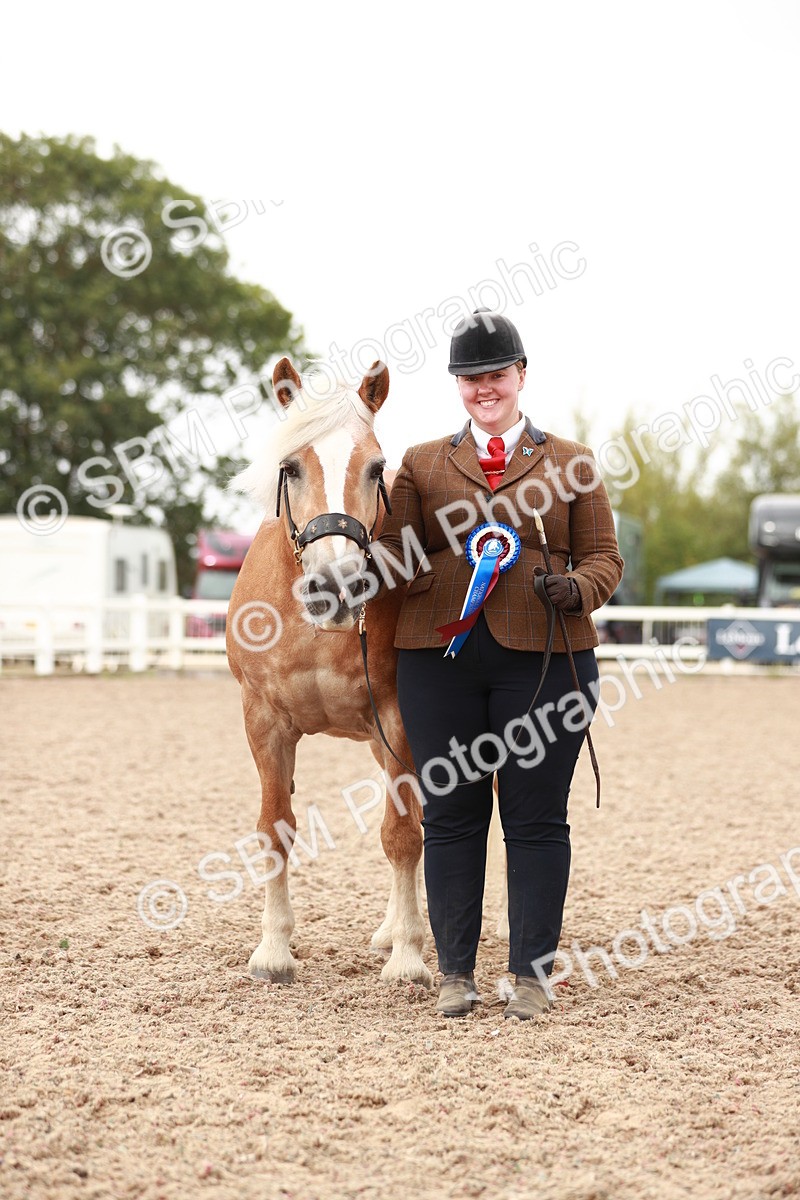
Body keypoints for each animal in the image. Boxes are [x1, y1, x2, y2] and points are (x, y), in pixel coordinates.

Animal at [226, 356, 433, 988]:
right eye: (290, 467)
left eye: (376, 466)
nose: (336, 587)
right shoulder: (264, 720)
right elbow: (275, 828)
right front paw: (274, 950)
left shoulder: (399, 718)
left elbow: (401, 835)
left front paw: (409, 958)